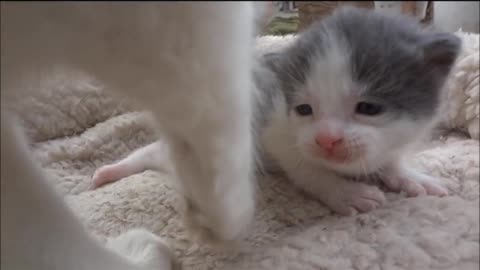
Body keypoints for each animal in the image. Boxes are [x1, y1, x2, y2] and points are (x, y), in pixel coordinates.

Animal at [92, 6, 460, 217]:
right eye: (304, 109)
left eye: (368, 108)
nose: (327, 140)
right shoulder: (277, 132)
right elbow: (306, 169)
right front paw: (344, 192)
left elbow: (391, 160)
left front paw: (410, 176)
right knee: (149, 153)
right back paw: (111, 171)